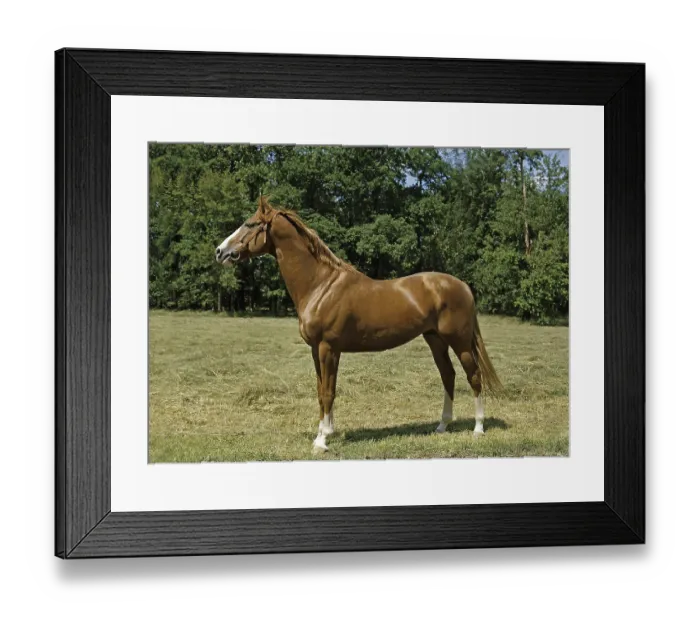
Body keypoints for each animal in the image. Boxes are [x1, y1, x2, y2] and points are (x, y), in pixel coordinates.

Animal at [216, 196, 502, 453]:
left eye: (251, 224)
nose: (220, 251)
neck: (321, 285)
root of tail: (462, 285)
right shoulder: (317, 350)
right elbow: (321, 391)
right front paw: (324, 432)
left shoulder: (328, 349)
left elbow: (328, 392)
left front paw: (322, 441)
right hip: (435, 339)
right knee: (448, 375)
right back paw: (442, 426)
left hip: (459, 341)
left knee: (473, 376)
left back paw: (478, 429)